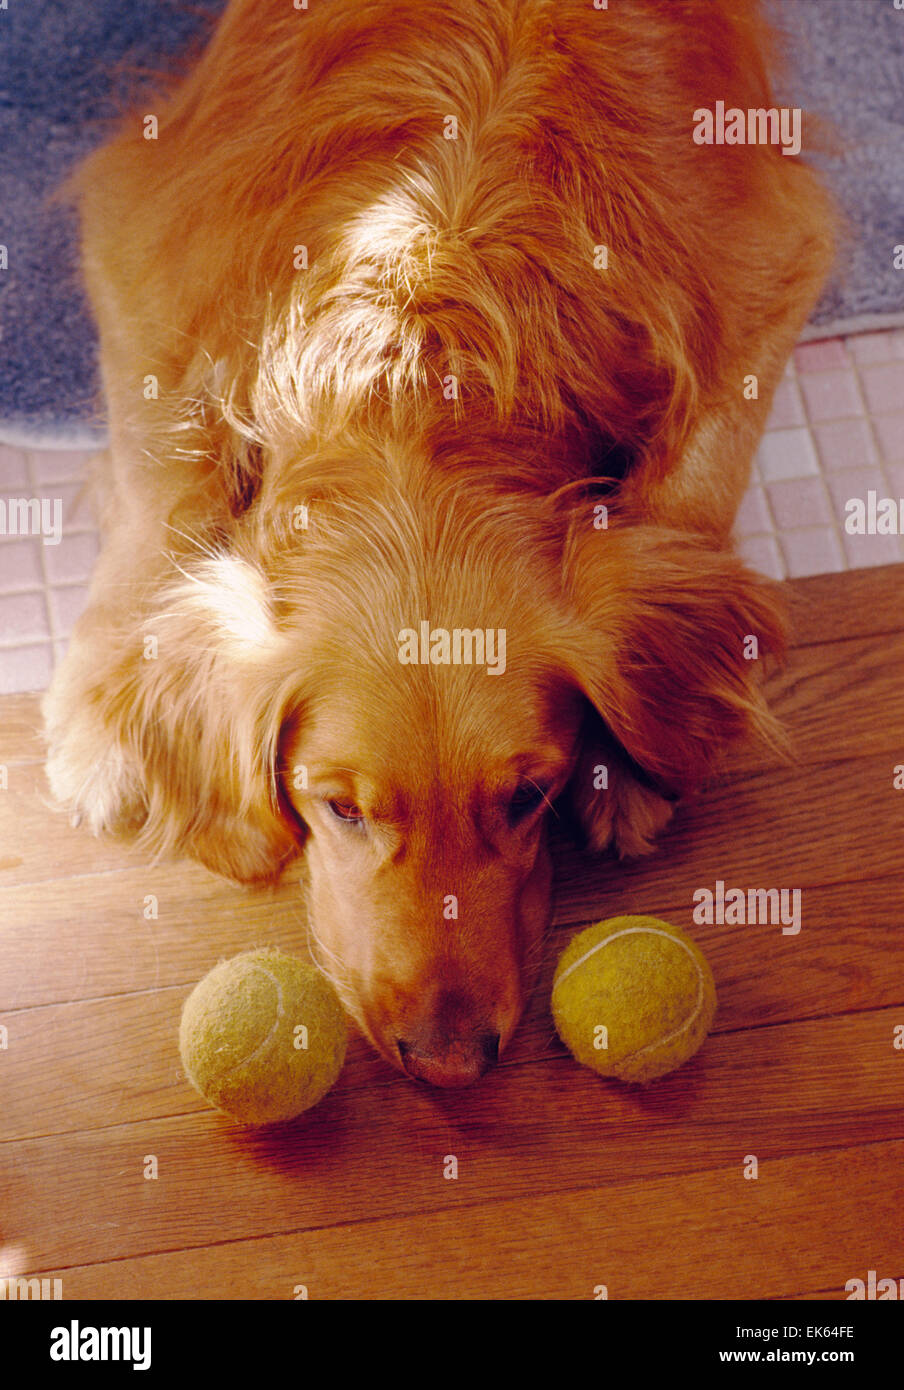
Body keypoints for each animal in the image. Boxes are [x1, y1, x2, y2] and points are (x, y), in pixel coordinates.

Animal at [42, 0, 828, 1084]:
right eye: (339, 808)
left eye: (529, 795)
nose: (449, 1064)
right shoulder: (141, 248)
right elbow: (161, 466)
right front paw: (99, 719)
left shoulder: (770, 256)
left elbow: (699, 477)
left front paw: (634, 758)